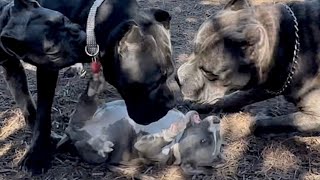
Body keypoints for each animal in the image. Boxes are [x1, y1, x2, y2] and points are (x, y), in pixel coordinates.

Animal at [57, 76, 222, 175]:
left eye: (204, 141)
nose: (217, 121)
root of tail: (73, 132)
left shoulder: (147, 150)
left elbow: (157, 140)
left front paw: (173, 129)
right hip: (91, 114)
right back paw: (94, 86)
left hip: (94, 152)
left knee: (84, 141)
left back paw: (99, 144)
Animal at [178, 0, 320, 135]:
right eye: (193, 50)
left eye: (209, 73)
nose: (178, 78)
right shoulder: (267, 84)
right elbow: (237, 96)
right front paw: (205, 104)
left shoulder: (315, 117)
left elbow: (258, 124)